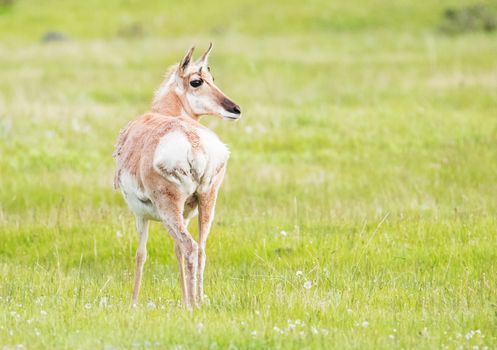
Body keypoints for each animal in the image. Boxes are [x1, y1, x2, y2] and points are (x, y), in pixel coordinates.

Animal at [115, 44, 242, 308]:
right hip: (207, 201)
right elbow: (175, 251)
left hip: (168, 207)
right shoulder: (186, 214)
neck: (166, 112)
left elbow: (141, 254)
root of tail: (194, 144)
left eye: (210, 78)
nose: (235, 109)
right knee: (200, 249)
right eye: (197, 81)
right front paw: (183, 298)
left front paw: (133, 303)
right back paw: (199, 300)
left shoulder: (140, 215)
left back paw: (193, 304)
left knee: (190, 246)